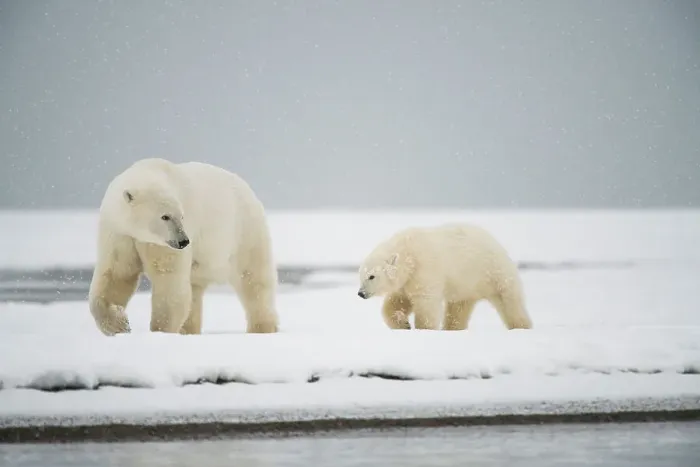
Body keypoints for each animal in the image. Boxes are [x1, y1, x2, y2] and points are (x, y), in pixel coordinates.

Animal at [88, 157, 280, 336]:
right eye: (165, 216)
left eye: (181, 216)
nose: (184, 241)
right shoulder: (120, 233)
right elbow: (116, 274)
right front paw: (119, 324)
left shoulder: (162, 244)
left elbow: (168, 282)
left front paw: (160, 331)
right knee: (194, 290)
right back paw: (188, 330)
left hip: (242, 232)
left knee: (253, 280)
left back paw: (262, 328)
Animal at [357, 223, 533, 331]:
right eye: (361, 276)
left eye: (372, 276)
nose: (360, 293)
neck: (409, 254)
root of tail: (496, 242)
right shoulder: (407, 280)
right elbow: (396, 302)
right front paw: (404, 324)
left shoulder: (425, 271)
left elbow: (426, 303)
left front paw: (423, 328)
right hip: (467, 284)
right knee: (458, 308)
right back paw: (452, 329)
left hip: (493, 272)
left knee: (509, 300)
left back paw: (521, 326)